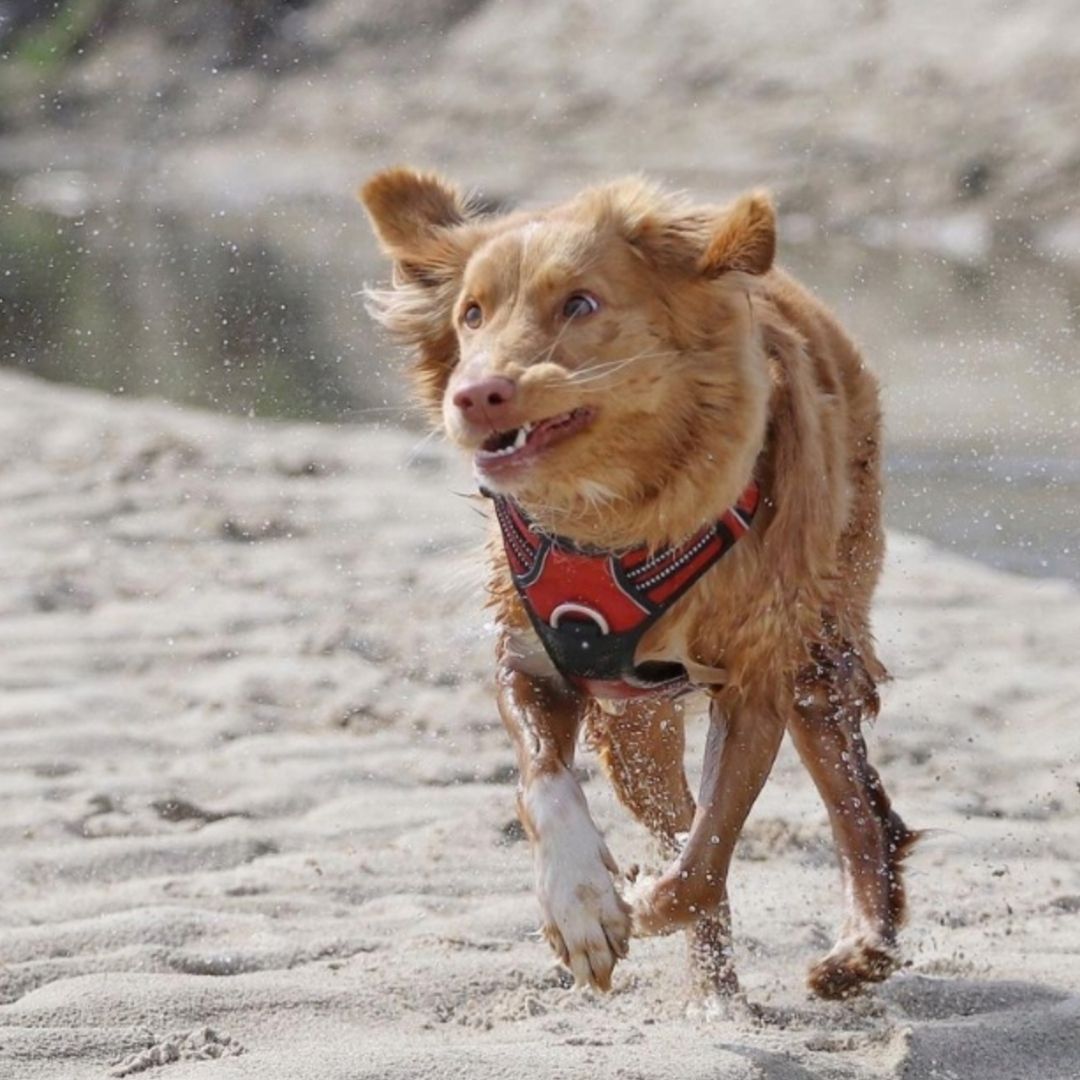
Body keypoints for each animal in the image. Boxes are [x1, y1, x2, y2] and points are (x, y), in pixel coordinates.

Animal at [360, 168, 911, 1002]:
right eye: (471, 314)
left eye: (580, 304)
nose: (477, 394)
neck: (617, 517)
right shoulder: (532, 658)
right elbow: (543, 783)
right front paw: (582, 904)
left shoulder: (756, 680)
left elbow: (706, 855)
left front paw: (643, 902)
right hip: (635, 726)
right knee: (675, 810)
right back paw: (718, 993)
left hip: (819, 654)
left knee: (854, 805)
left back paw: (858, 947)